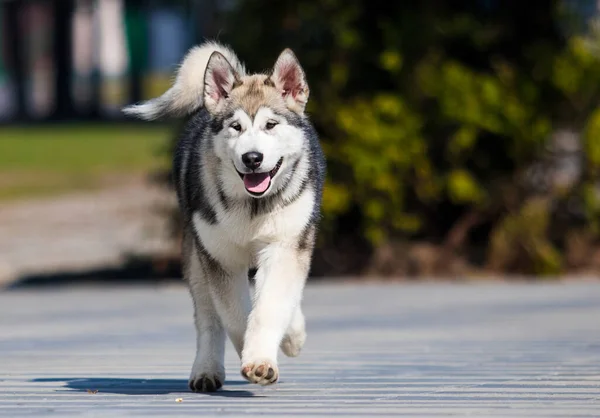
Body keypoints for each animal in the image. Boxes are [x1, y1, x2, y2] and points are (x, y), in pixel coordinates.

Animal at [123, 42, 326, 392]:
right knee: (208, 319)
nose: (252, 158)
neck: (253, 207)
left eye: (271, 125)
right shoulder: (220, 258)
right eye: (236, 127)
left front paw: (261, 359)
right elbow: (234, 316)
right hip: (195, 257)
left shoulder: (285, 246)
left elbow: (270, 306)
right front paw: (254, 354)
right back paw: (206, 370)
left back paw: (291, 335)